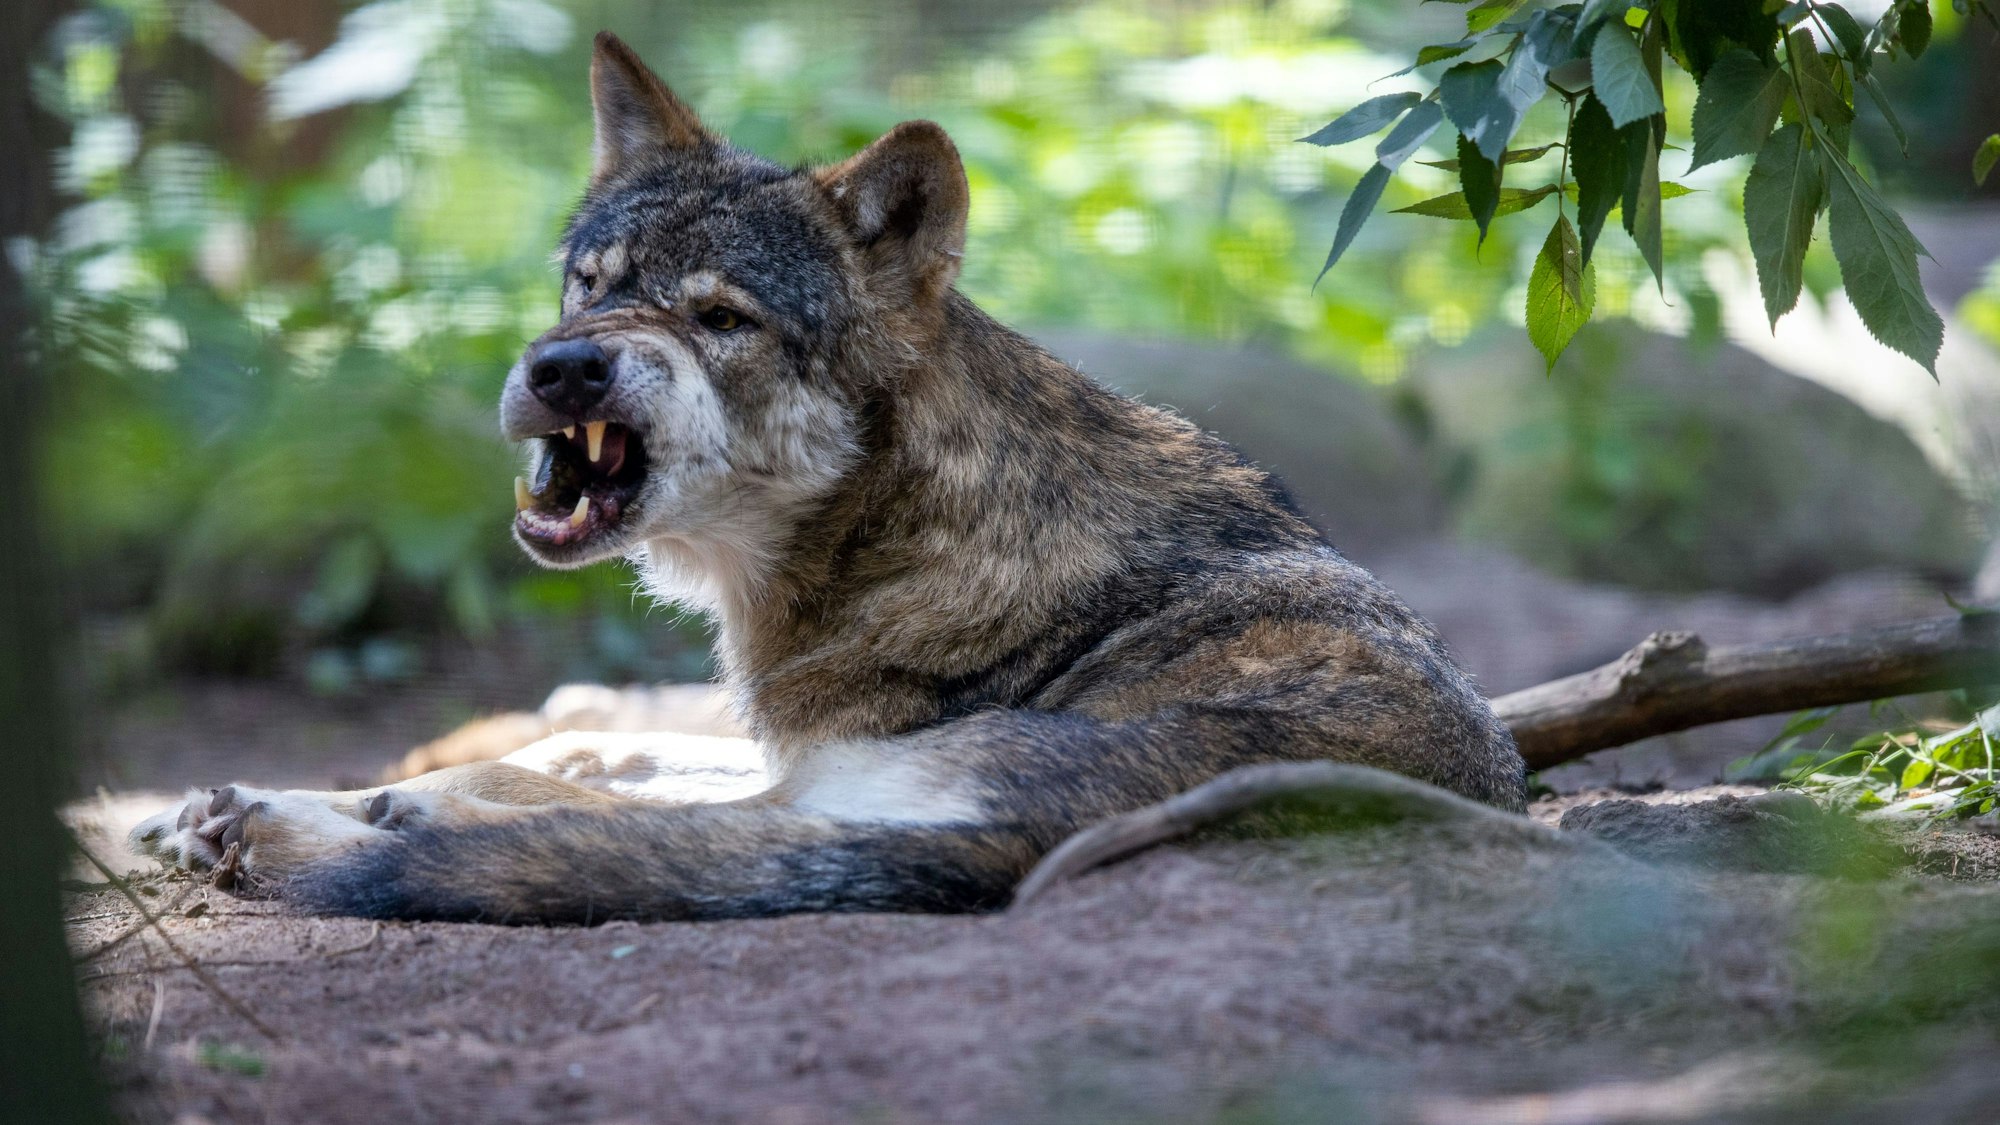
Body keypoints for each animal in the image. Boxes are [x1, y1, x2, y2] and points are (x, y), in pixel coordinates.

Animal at [130, 33, 1526, 922]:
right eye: (591, 282)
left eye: (719, 319)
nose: (568, 368)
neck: (891, 531)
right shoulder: (795, 751)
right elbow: (602, 743)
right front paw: (205, 805)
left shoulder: (824, 768)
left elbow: (538, 780)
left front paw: (336, 810)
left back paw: (292, 831)